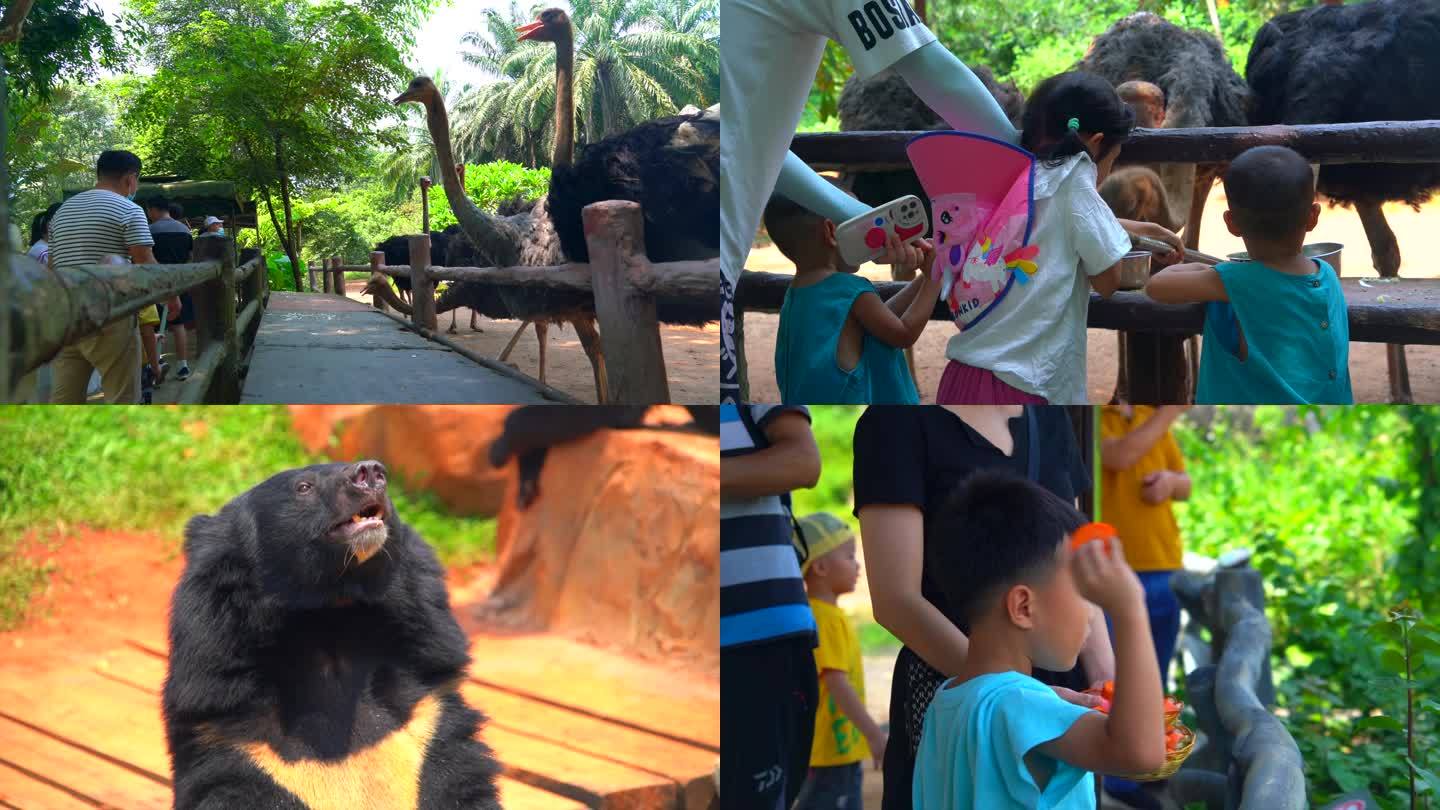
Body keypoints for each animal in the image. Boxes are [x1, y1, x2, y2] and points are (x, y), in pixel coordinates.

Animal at [161, 461, 501, 807]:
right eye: (303, 487)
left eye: (379, 476)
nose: (370, 472)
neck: (331, 624)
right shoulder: (238, 743)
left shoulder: (428, 722)